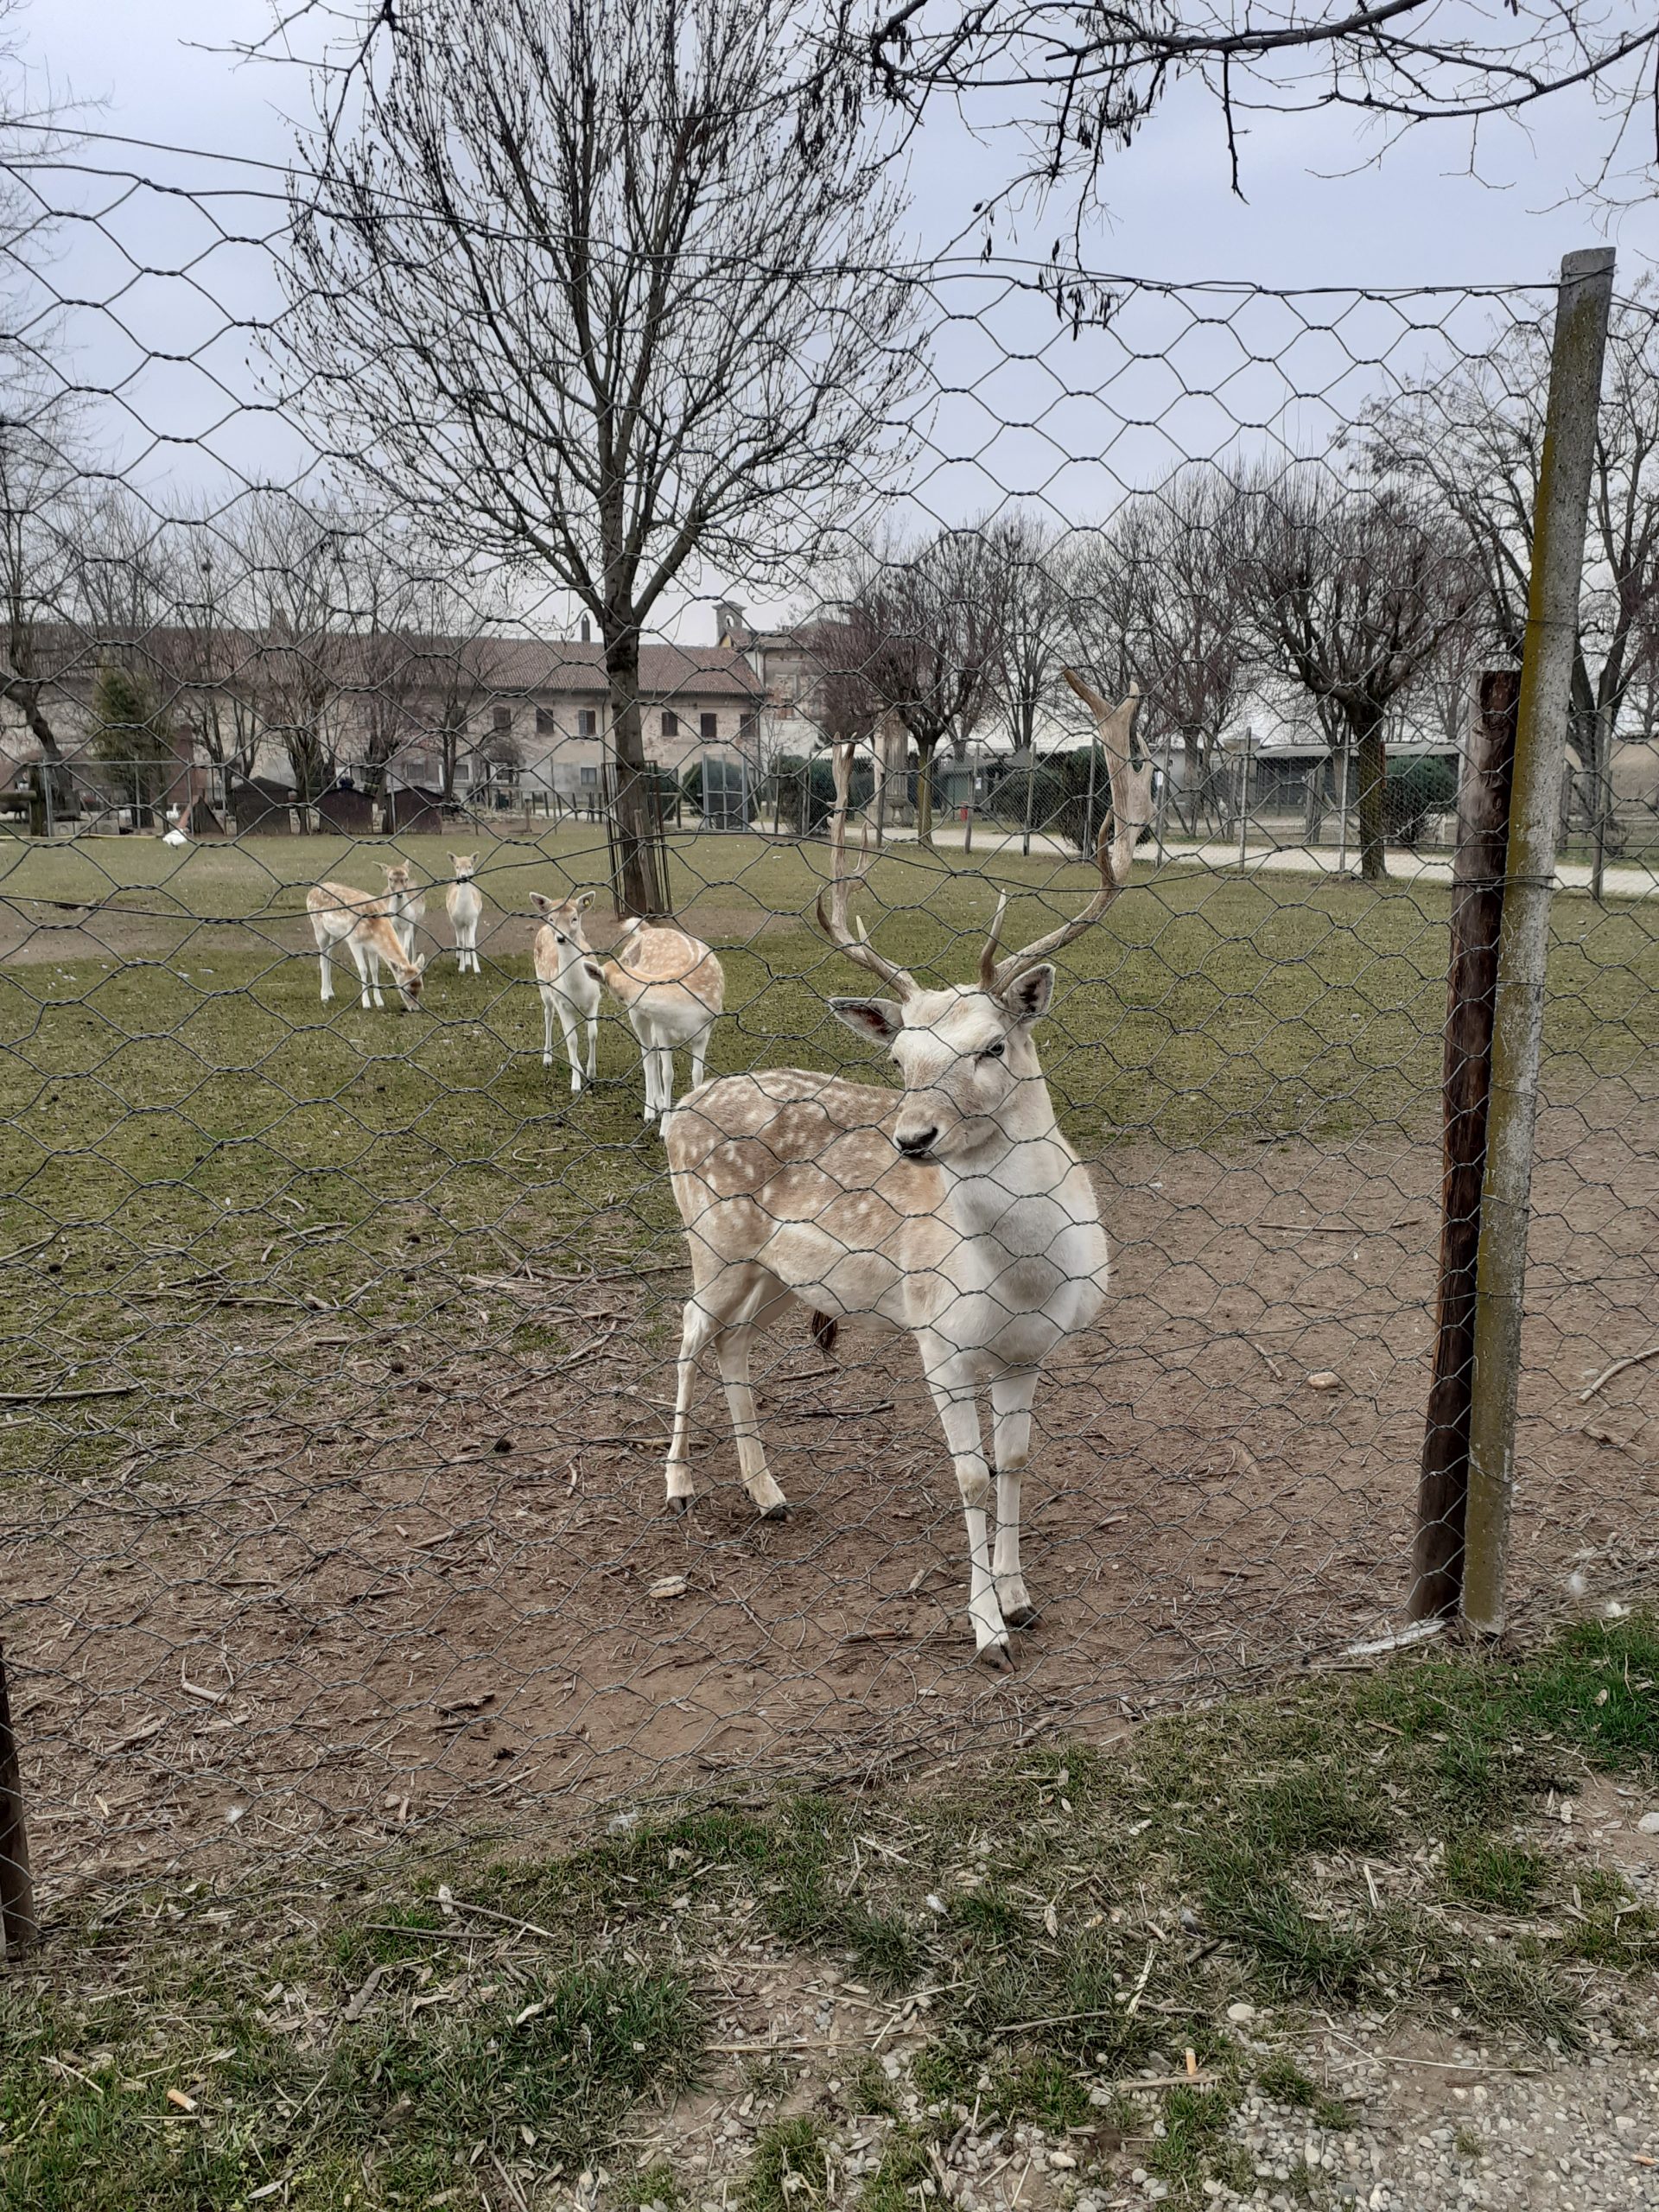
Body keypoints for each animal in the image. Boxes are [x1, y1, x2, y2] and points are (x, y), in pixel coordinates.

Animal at [309, 885, 429, 1013]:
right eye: (407, 989)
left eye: (421, 986)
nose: (415, 1009)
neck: (374, 929)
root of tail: (311, 892)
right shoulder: (354, 941)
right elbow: (363, 969)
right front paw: (366, 1003)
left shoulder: (373, 948)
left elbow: (374, 969)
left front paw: (379, 1002)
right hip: (319, 928)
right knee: (322, 957)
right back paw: (324, 995)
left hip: (336, 935)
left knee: (328, 955)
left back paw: (331, 992)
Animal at [444, 849, 484, 973]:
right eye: (457, 866)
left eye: (470, 866)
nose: (463, 876)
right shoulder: (457, 921)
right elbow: (461, 942)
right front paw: (461, 969)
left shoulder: (473, 919)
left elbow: (471, 942)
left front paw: (476, 969)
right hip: (453, 919)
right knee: (459, 938)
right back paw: (459, 958)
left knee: (467, 938)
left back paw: (468, 962)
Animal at [532, 889, 606, 1096]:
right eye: (552, 919)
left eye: (574, 918)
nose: (560, 938)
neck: (577, 989)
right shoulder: (562, 1003)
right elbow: (572, 1040)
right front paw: (576, 1083)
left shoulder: (595, 998)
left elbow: (592, 1033)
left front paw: (591, 1072)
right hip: (544, 987)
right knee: (548, 1014)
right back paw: (547, 1058)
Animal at [664, 664, 1159, 1663]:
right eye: (901, 1059)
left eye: (992, 1047)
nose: (912, 1140)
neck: (1025, 1279)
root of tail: (674, 1114)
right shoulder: (940, 1340)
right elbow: (968, 1480)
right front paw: (985, 1628)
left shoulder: (1030, 1353)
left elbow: (1015, 1465)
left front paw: (1023, 1598)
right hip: (713, 1240)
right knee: (688, 1330)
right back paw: (680, 1486)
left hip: (780, 1273)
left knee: (733, 1340)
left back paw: (769, 1495)